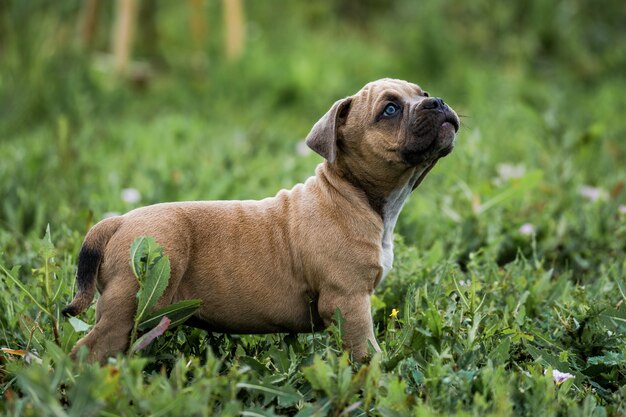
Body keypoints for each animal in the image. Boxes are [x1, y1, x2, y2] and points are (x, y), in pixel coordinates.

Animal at [63, 79, 458, 360]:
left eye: (423, 94)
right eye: (389, 109)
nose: (437, 102)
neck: (353, 193)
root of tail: (119, 220)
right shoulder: (349, 301)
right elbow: (367, 353)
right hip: (129, 306)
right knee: (87, 351)